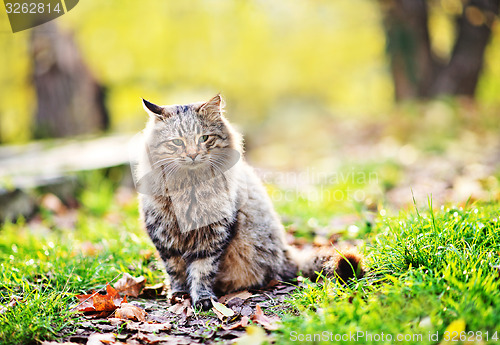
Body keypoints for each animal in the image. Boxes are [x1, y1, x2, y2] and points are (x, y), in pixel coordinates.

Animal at [137, 93, 364, 310]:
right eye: (177, 142)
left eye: (204, 138)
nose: (193, 155)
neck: (189, 186)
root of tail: (287, 254)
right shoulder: (165, 237)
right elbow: (175, 271)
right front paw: (179, 294)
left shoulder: (212, 237)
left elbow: (202, 272)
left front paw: (202, 298)